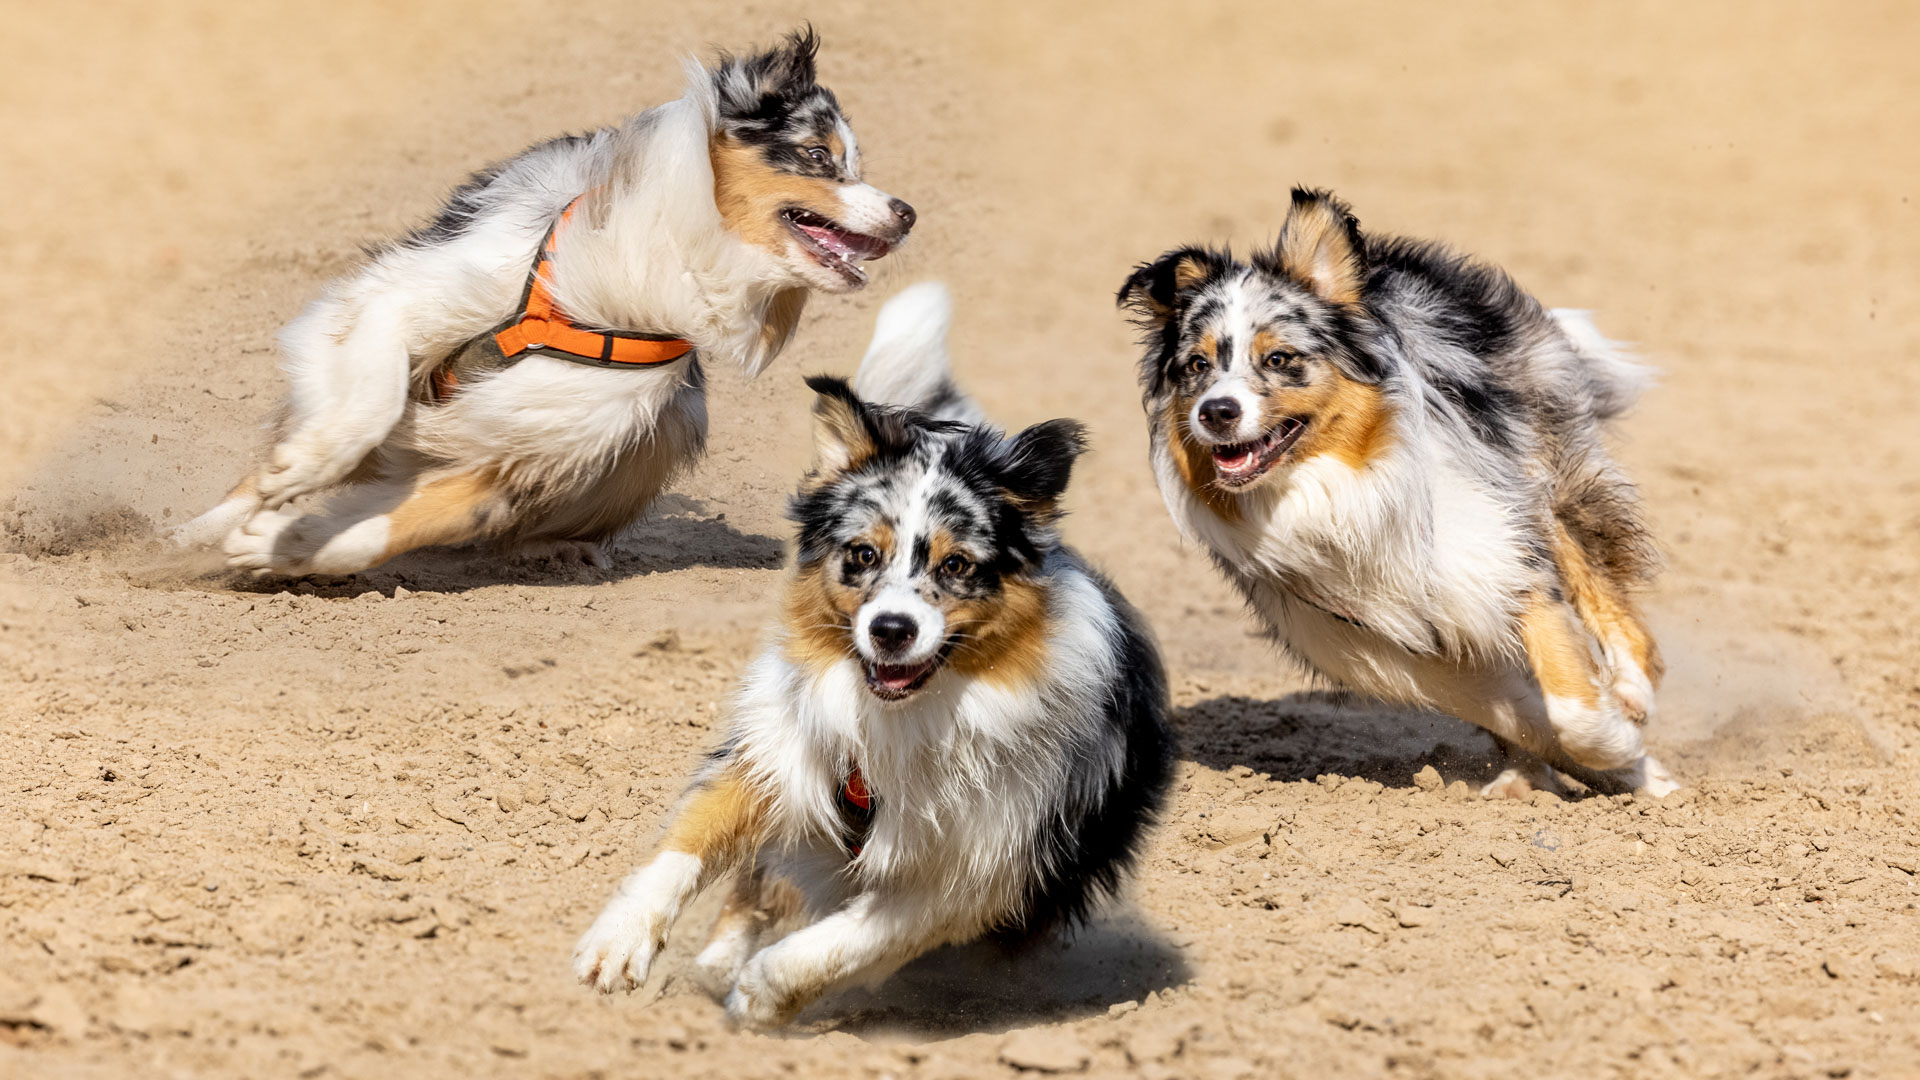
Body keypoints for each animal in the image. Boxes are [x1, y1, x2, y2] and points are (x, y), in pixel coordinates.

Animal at [168, 27, 910, 572]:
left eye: (856, 165)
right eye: (818, 156)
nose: (906, 214)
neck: (641, 282)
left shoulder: (534, 446)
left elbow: (407, 522)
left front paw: (286, 547)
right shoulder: (405, 297)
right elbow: (366, 405)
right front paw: (293, 478)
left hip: (663, 436)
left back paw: (556, 549)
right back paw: (196, 529)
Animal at [568, 284, 1167, 1022]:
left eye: (958, 565)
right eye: (862, 555)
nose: (890, 630)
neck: (900, 719)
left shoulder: (981, 867)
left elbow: (848, 941)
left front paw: (762, 997)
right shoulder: (778, 751)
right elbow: (684, 844)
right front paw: (620, 943)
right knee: (756, 885)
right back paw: (715, 962)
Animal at [1121, 184, 1674, 795]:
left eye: (1279, 358)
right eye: (1197, 365)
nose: (1215, 412)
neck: (1329, 491)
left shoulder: (1494, 558)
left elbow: (1570, 708)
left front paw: (1627, 751)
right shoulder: (1381, 646)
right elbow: (1525, 716)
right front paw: (1619, 770)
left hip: (1537, 473)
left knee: (1598, 581)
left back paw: (1630, 687)